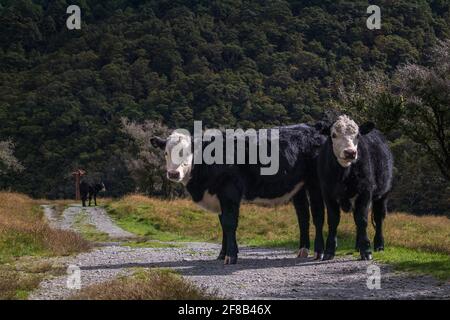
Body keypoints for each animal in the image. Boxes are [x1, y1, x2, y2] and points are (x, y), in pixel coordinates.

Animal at [152, 124, 326, 264]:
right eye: (166, 153)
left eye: (187, 153)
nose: (173, 174)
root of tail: (312, 129)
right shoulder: (219, 197)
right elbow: (223, 225)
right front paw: (222, 255)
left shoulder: (229, 193)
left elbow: (229, 224)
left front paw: (231, 257)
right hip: (298, 187)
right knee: (303, 216)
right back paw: (303, 250)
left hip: (315, 183)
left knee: (317, 215)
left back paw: (319, 252)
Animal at [316, 116, 394, 262]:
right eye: (333, 135)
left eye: (357, 135)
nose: (350, 152)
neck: (344, 175)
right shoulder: (328, 194)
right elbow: (333, 221)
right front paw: (329, 251)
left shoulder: (365, 192)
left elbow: (362, 220)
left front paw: (367, 251)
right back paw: (358, 246)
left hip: (383, 195)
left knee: (378, 218)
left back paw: (379, 245)